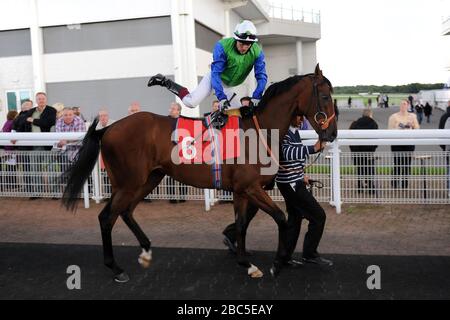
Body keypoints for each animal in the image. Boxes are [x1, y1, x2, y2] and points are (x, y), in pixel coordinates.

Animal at [63, 64, 338, 282]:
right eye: (325, 96)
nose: (332, 134)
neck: (259, 132)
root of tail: (108, 129)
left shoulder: (241, 190)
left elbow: (241, 225)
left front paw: (246, 264)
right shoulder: (251, 187)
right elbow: (281, 218)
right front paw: (277, 264)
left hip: (149, 179)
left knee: (126, 211)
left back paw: (146, 251)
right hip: (129, 182)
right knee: (107, 217)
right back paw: (116, 268)